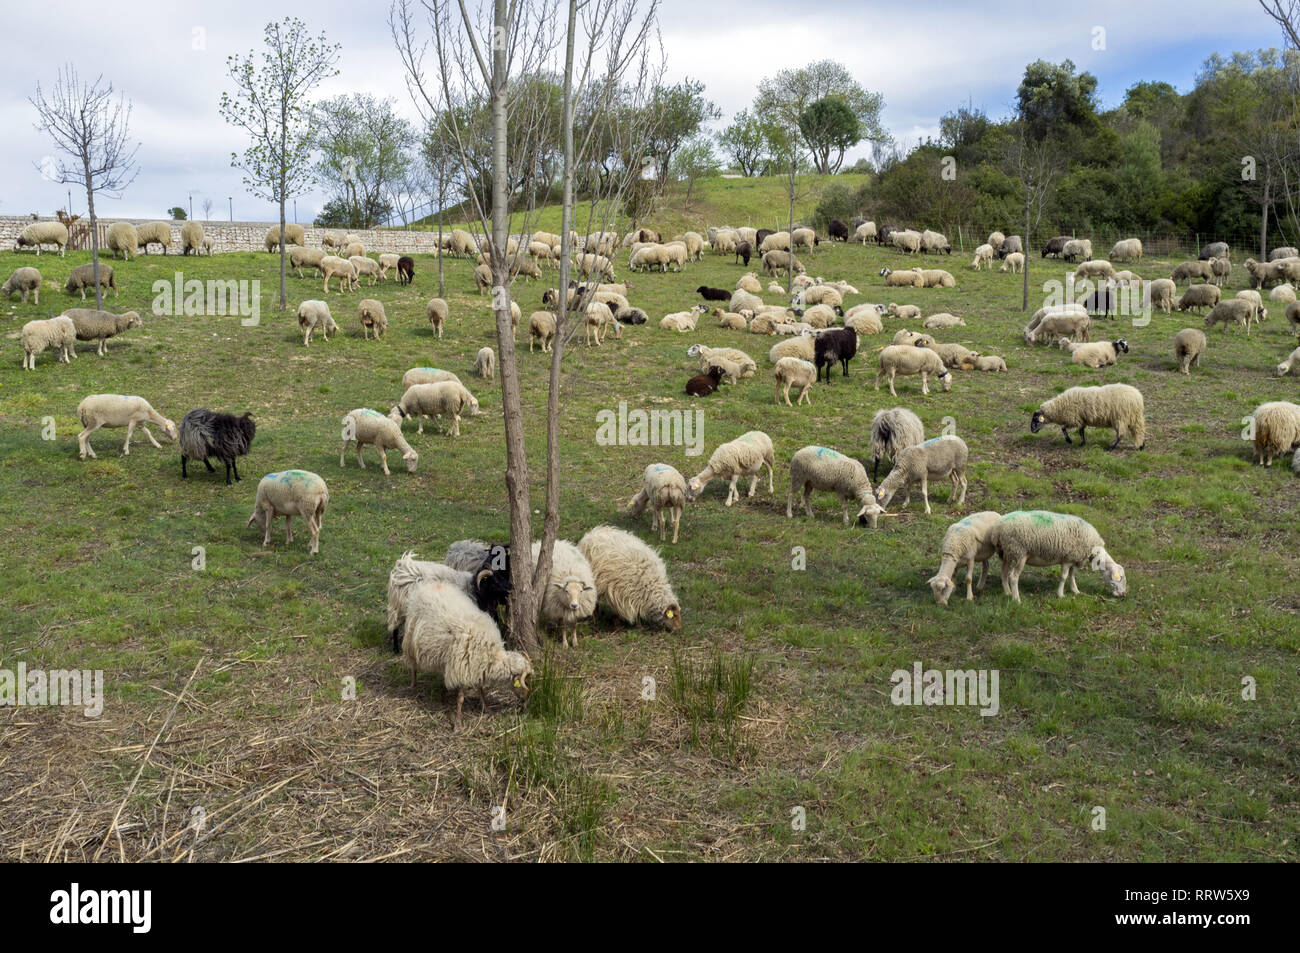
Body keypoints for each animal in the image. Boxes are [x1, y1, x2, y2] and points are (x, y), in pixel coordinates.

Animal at [982, 509, 1128, 598]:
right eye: (1119, 577)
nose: (1124, 595)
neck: (1093, 547)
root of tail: (997, 528)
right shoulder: (1067, 559)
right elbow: (1064, 577)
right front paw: (1061, 594)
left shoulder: (1073, 558)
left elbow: (1072, 576)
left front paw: (1075, 591)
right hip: (1019, 553)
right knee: (1013, 577)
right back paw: (1016, 599)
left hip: (1008, 552)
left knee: (1003, 573)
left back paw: (1007, 593)